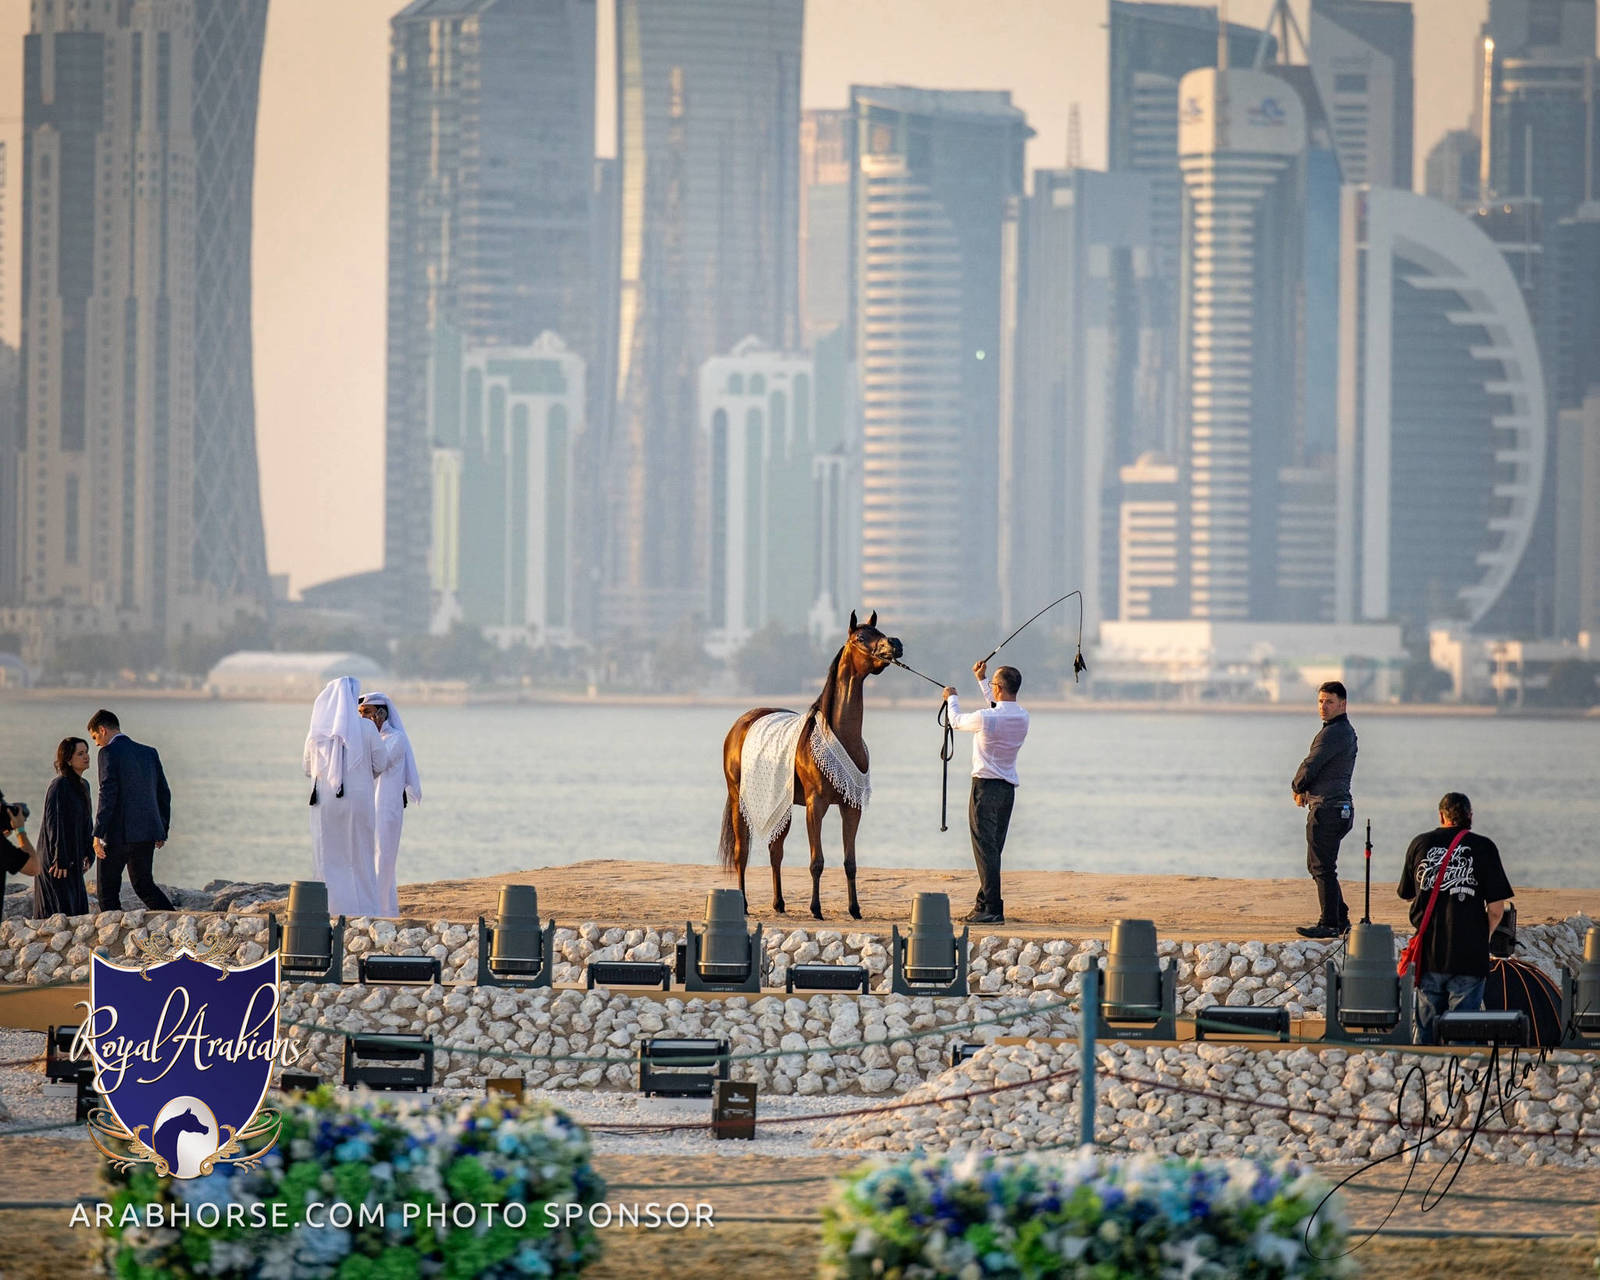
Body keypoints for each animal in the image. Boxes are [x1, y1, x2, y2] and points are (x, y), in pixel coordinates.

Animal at [718, 611, 902, 920]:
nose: (896, 644)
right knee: (742, 852)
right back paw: (742, 904)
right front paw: (816, 909)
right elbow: (817, 861)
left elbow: (850, 862)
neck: (839, 735)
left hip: (781, 803)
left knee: (775, 851)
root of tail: (741, 723)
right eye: (860, 637)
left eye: (880, 631)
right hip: (738, 798)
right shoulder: (816, 805)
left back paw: (779, 903)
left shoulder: (851, 807)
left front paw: (855, 909)